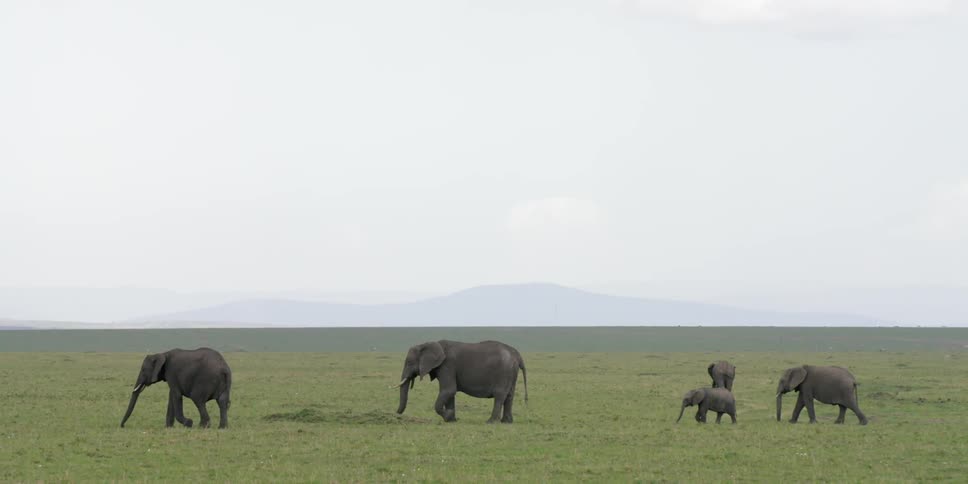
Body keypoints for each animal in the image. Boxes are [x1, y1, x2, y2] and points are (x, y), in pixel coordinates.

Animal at [395, 340, 527, 423]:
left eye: (409, 362)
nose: (397, 414)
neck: (430, 343)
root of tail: (517, 355)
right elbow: (450, 393)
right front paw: (451, 420)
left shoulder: (447, 366)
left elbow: (448, 390)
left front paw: (448, 416)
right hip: (511, 372)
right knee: (509, 395)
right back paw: (507, 422)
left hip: (504, 372)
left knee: (500, 395)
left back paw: (491, 422)